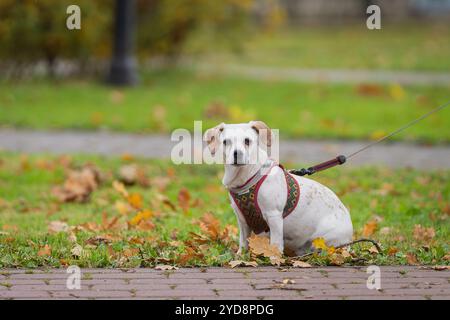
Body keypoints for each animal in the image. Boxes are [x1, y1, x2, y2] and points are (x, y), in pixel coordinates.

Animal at [205, 120, 356, 255]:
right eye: (226, 142)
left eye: (247, 141)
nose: (237, 154)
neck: (246, 178)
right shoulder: (242, 220)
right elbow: (243, 242)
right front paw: (240, 256)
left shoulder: (274, 216)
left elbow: (276, 243)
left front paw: (274, 257)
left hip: (324, 239)